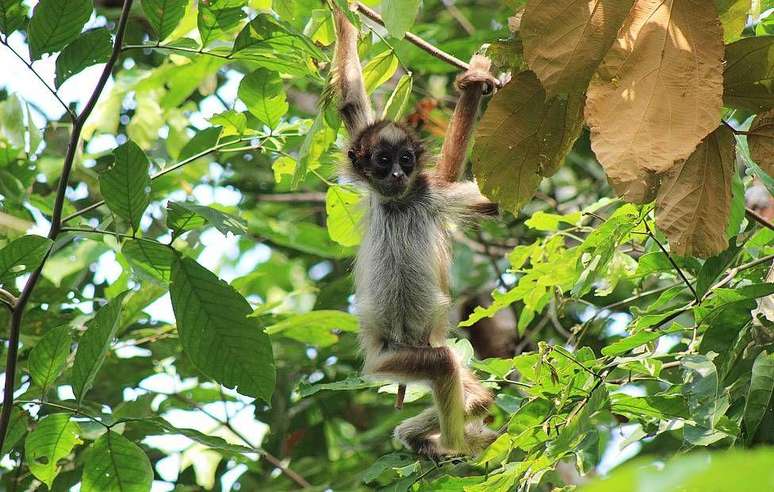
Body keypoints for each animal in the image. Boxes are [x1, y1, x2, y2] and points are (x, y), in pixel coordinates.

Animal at [332, 7, 500, 457]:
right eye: (382, 159)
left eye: (405, 160)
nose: (395, 174)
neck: (398, 202)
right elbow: (351, 100)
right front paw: (341, 10)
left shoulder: (430, 193)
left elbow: (497, 200)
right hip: (388, 359)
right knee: (451, 372)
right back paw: (434, 440)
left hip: (417, 351)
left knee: (461, 381)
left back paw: (445, 443)